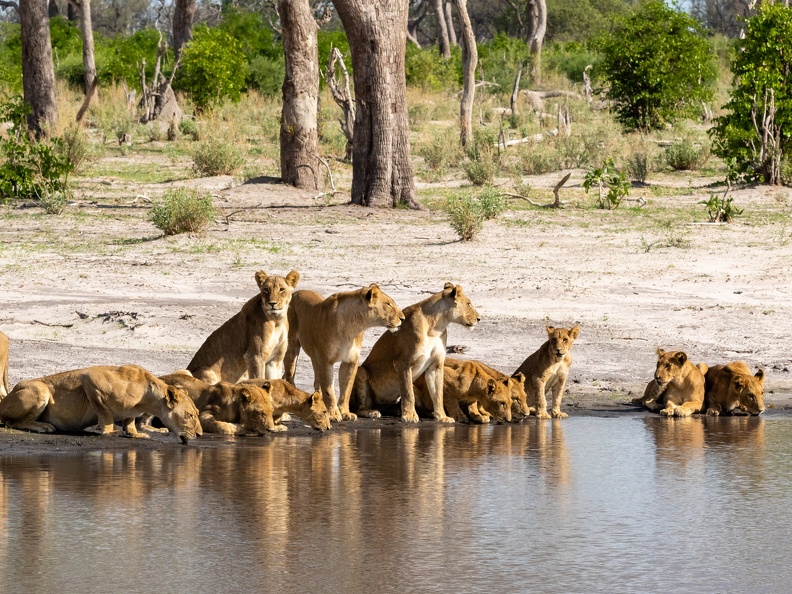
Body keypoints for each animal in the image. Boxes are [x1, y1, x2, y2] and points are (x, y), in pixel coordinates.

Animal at [0, 365, 202, 442]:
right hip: (40, 389)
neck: (147, 400)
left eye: (196, 414)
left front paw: (134, 433)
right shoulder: (91, 379)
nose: (200, 434)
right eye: (190, 415)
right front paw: (110, 431)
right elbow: (105, 413)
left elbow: (129, 419)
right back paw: (43, 426)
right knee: (12, 422)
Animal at [284, 284, 404, 422]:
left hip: (315, 357)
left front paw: (345, 412)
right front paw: (333, 414)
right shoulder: (326, 360)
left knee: (317, 381)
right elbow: (329, 390)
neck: (352, 326)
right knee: (290, 377)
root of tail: (295, 293)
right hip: (292, 349)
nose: (403, 318)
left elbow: (347, 388)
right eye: (388, 304)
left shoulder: (350, 360)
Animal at [351, 283, 480, 423]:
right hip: (361, 372)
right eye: (469, 304)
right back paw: (372, 412)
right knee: (358, 408)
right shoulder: (403, 364)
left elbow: (438, 394)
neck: (436, 326)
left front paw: (442, 416)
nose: (479, 318)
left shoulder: (435, 366)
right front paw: (409, 416)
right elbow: (408, 393)